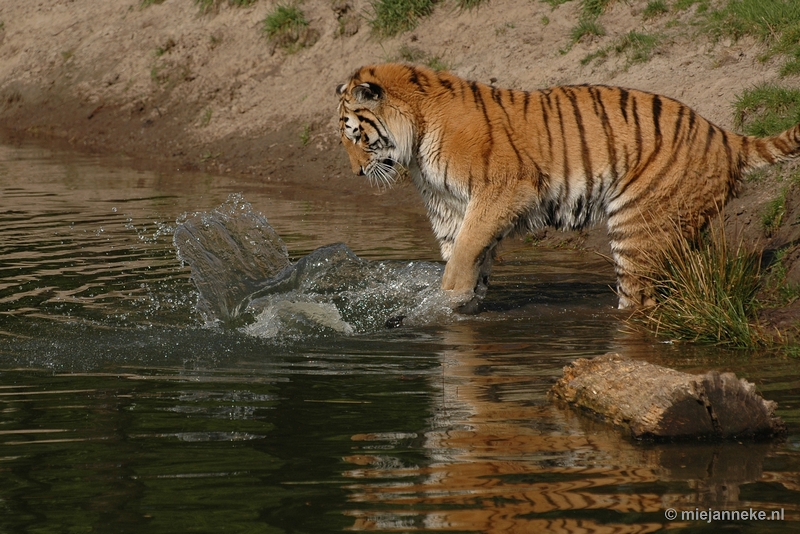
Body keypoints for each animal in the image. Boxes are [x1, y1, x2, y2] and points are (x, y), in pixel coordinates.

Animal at [332, 65, 800, 312]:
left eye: (355, 136)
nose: (355, 174)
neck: (416, 143)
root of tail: (725, 135)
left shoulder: (504, 190)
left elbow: (464, 253)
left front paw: (447, 301)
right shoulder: (450, 208)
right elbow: (467, 253)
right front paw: (465, 304)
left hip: (638, 225)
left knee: (640, 296)